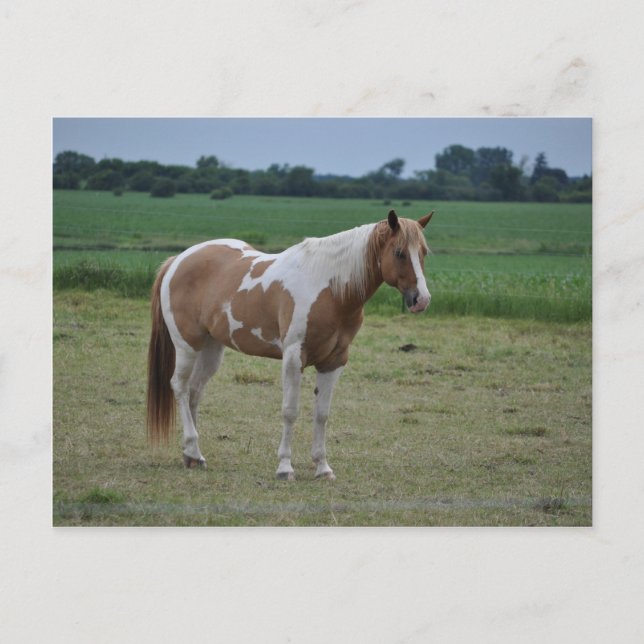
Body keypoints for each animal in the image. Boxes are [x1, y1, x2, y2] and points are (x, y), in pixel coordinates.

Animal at [146, 209, 433, 480]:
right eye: (399, 252)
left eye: (423, 252)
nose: (421, 299)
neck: (329, 289)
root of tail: (177, 261)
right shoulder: (294, 356)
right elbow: (290, 411)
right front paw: (285, 467)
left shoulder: (334, 361)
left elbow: (322, 414)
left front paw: (323, 468)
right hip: (187, 345)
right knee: (180, 387)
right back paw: (192, 446)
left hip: (211, 348)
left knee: (195, 392)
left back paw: (193, 455)